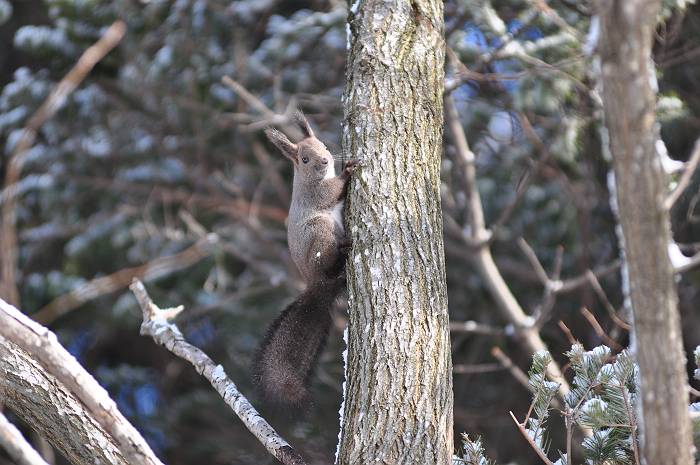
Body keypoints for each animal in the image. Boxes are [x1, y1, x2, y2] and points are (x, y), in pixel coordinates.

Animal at [252, 112, 358, 406]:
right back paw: (342, 250)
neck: (309, 178)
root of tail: (317, 286)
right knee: (329, 262)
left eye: (323, 145)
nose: (325, 160)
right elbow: (332, 192)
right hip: (320, 234)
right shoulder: (316, 194)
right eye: (304, 159)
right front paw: (348, 171)